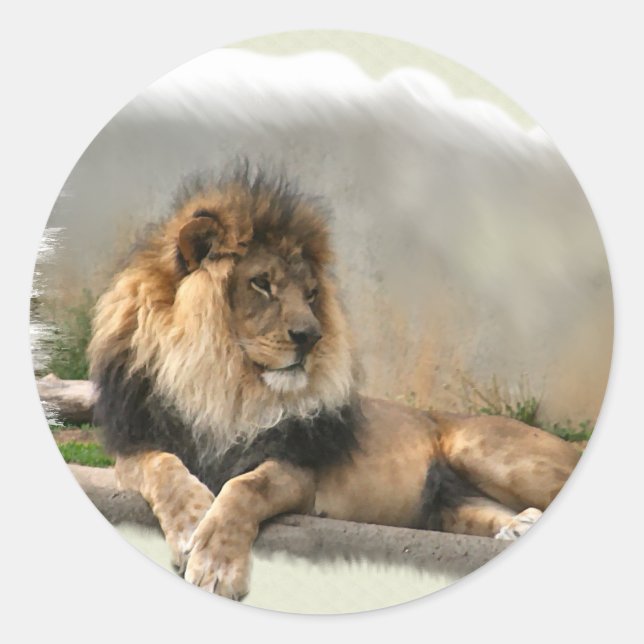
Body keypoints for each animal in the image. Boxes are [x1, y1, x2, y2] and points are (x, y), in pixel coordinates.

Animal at [88, 168, 581, 600]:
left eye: (310, 295)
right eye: (261, 283)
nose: (311, 336)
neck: (221, 385)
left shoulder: (298, 468)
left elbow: (246, 487)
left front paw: (215, 565)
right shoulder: (135, 443)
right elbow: (162, 468)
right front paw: (192, 521)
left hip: (486, 452)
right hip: (452, 507)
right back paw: (519, 526)